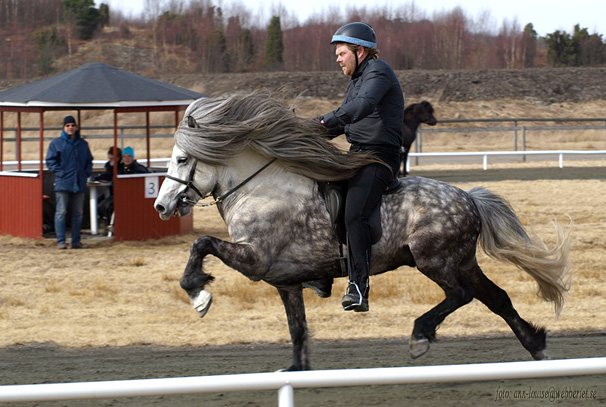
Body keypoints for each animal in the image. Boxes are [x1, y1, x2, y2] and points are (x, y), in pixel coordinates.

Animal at [154, 92, 572, 372]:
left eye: (181, 159)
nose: (161, 206)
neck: (259, 188)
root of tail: (468, 197)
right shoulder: (285, 282)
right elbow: (297, 330)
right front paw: (296, 370)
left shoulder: (255, 259)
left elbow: (201, 243)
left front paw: (198, 294)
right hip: (462, 261)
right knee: (496, 298)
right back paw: (536, 346)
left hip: (434, 260)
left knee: (461, 295)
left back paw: (420, 335)